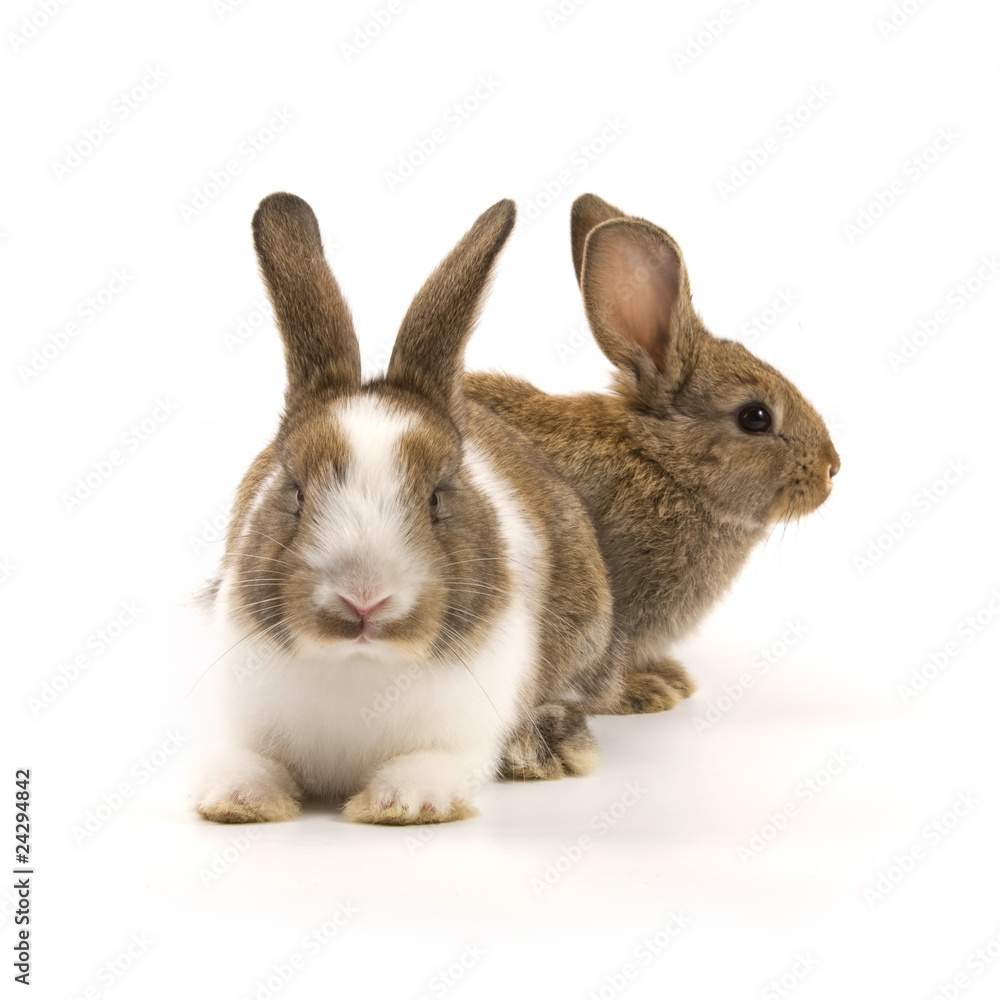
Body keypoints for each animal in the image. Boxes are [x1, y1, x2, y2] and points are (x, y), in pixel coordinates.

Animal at [192, 193, 616, 826]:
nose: (364, 598)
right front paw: (237, 799)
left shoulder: (460, 739)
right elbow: (250, 760)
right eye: (294, 491)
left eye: (438, 496)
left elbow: (429, 765)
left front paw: (402, 804)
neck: (360, 663)